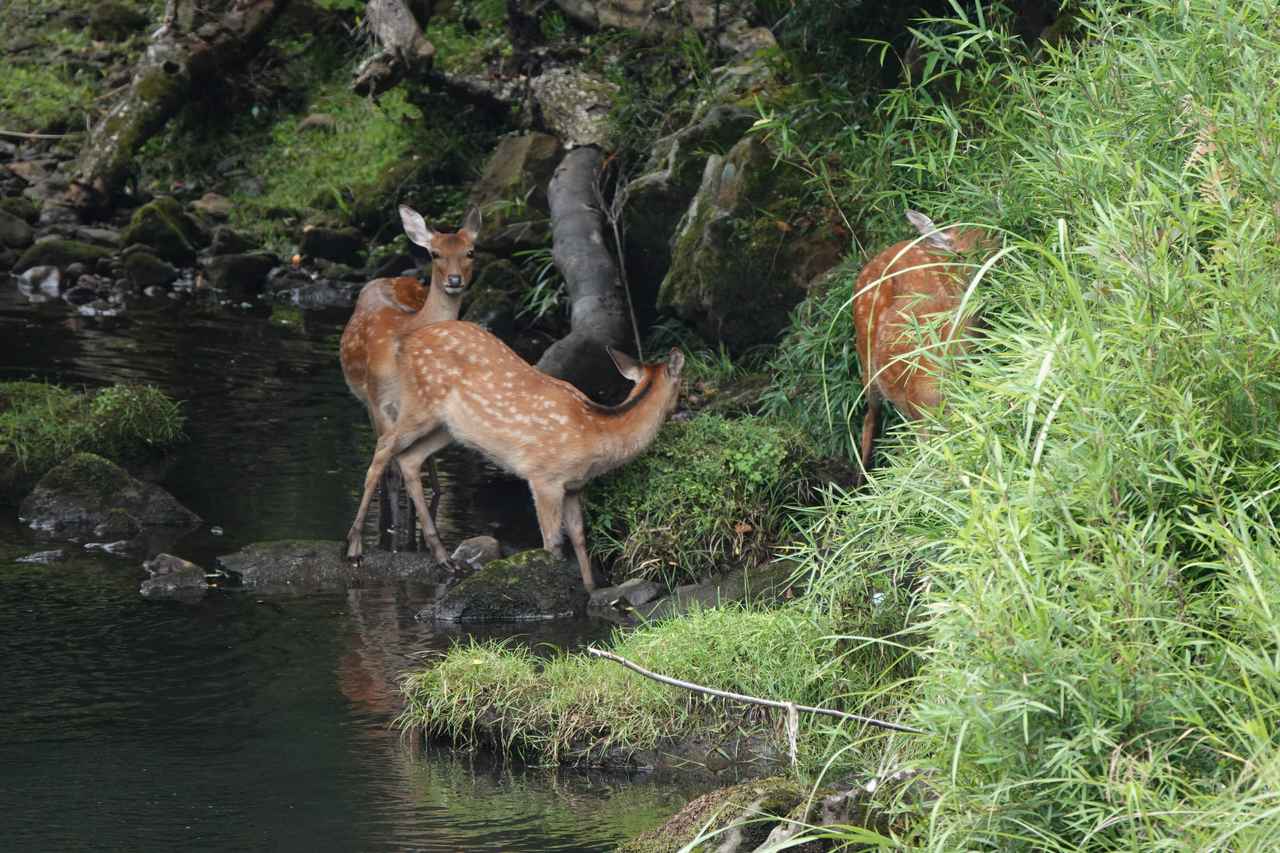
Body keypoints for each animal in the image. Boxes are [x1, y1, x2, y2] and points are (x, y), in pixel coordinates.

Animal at [339, 205, 482, 548]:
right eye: (435, 253)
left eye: (471, 251)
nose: (455, 280)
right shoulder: (379, 401)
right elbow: (391, 469)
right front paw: (391, 538)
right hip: (367, 399)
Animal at [343, 320, 685, 591]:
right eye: (681, 387)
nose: (682, 408)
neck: (598, 432)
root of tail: (406, 342)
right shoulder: (544, 478)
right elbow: (552, 543)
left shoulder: (574, 486)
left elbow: (579, 538)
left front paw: (590, 590)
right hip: (419, 403)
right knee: (384, 446)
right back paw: (355, 546)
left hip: (447, 426)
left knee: (409, 459)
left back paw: (442, 557)